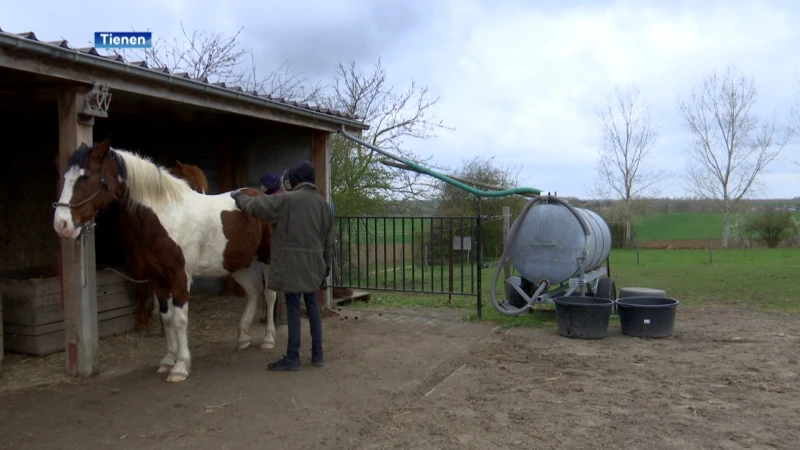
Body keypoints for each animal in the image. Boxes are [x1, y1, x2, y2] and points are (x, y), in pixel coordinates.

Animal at [54, 138, 276, 384]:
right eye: (65, 177)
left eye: (85, 176)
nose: (61, 224)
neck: (164, 216)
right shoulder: (155, 278)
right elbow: (166, 318)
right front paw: (169, 360)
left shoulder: (179, 276)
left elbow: (180, 319)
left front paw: (180, 366)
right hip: (237, 263)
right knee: (254, 291)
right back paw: (243, 338)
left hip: (267, 257)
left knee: (269, 293)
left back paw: (268, 339)